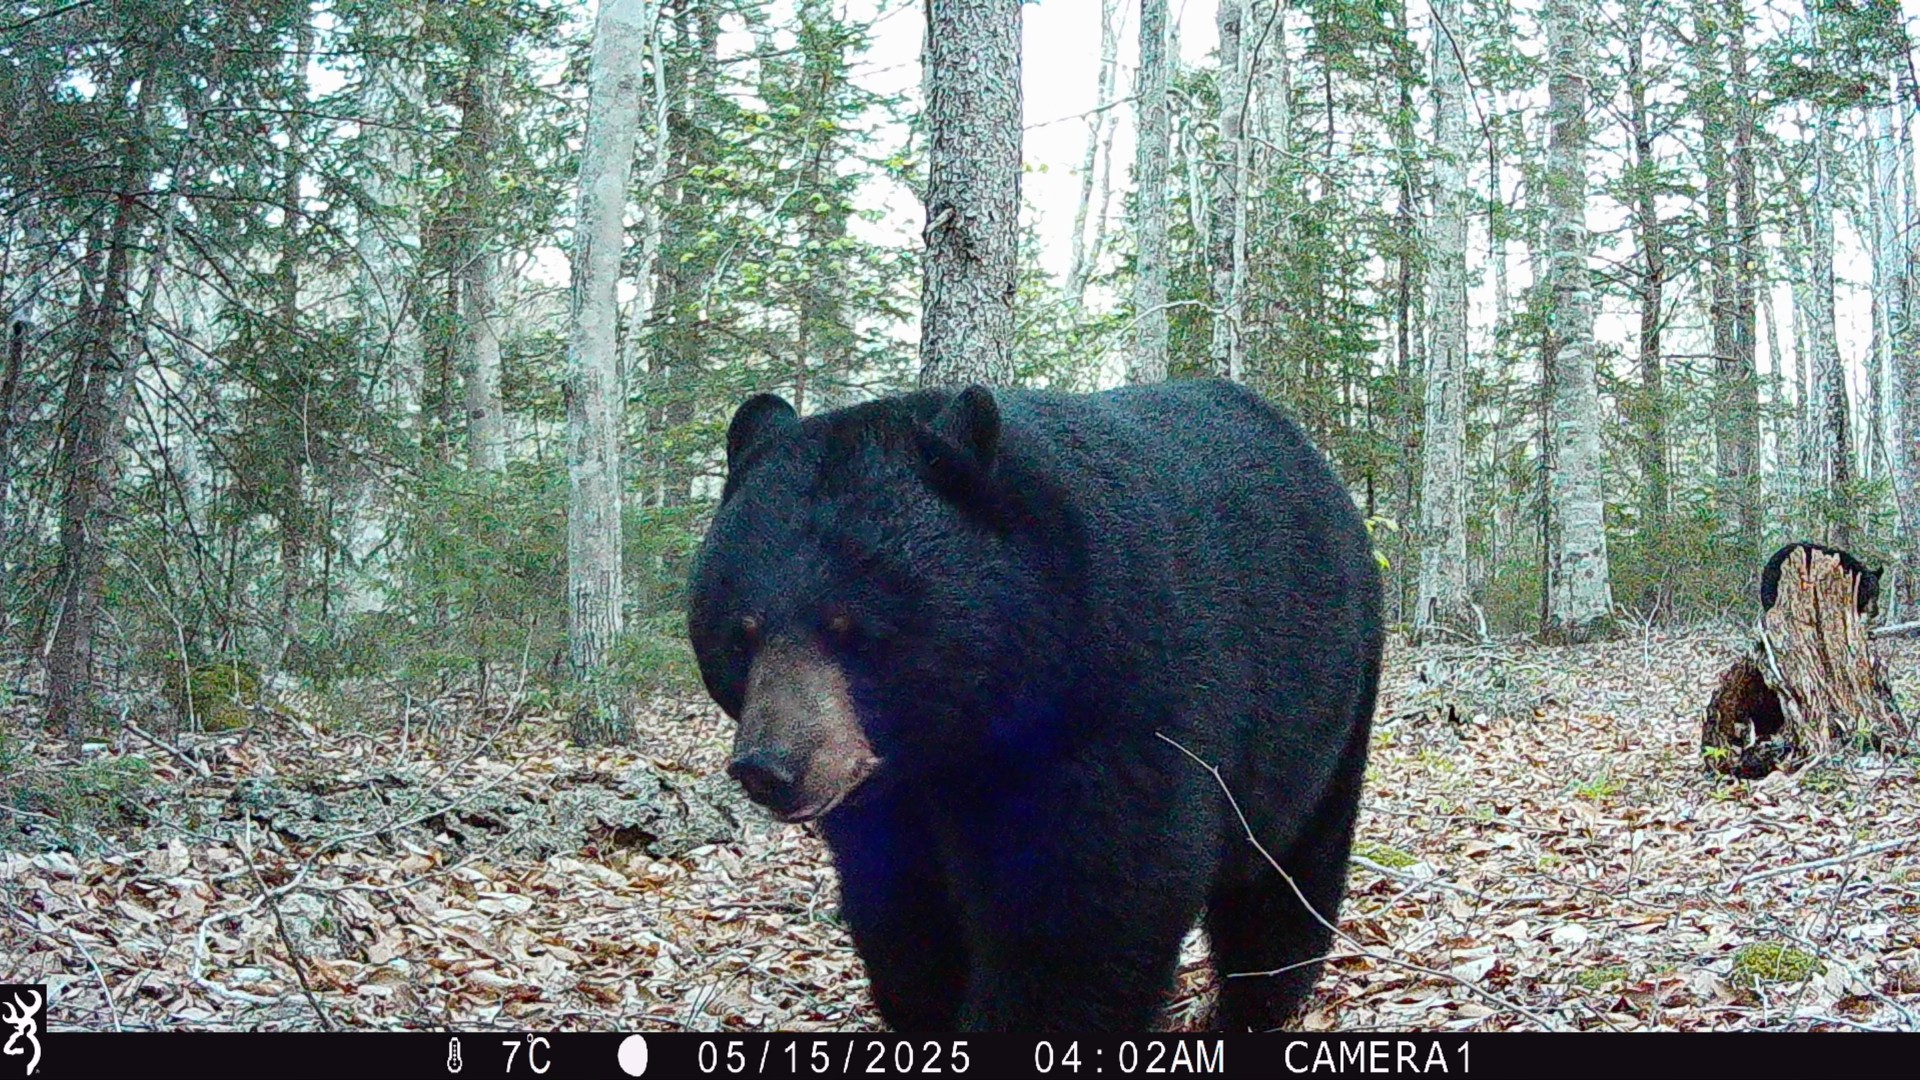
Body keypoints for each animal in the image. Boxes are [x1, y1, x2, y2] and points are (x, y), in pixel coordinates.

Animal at [686, 380, 1385, 1032]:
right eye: (741, 633)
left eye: (849, 628)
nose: (768, 767)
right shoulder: (892, 796)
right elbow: (901, 907)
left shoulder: (1117, 707)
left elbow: (1087, 907)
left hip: (1325, 705)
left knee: (1287, 870)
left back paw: (1258, 1002)